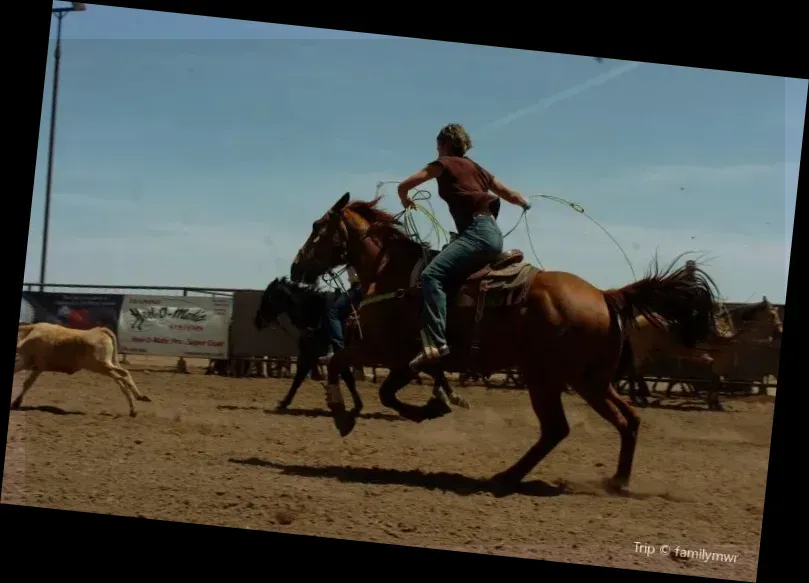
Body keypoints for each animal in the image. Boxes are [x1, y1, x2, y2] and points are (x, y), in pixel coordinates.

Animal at [13, 324, 152, 416]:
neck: (28, 333)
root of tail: (99, 330)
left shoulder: (29, 363)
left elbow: (26, 382)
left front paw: (16, 403)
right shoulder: (36, 367)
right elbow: (27, 382)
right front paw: (16, 402)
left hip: (101, 365)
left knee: (123, 375)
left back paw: (138, 398)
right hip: (106, 366)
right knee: (121, 379)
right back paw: (134, 407)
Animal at [251, 278, 468, 410]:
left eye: (268, 297)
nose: (257, 321)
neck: (317, 315)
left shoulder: (313, 355)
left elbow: (300, 379)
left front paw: (283, 403)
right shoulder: (322, 355)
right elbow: (344, 377)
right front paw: (356, 402)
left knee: (434, 369)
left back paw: (450, 396)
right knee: (434, 368)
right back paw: (450, 396)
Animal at [288, 194, 720, 496]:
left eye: (316, 226)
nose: (296, 268)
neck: (391, 272)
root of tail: (604, 294)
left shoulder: (385, 350)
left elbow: (339, 363)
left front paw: (343, 415)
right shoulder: (405, 360)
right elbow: (384, 389)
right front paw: (432, 406)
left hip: (547, 378)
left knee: (558, 429)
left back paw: (507, 477)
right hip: (590, 380)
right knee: (628, 420)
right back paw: (617, 482)